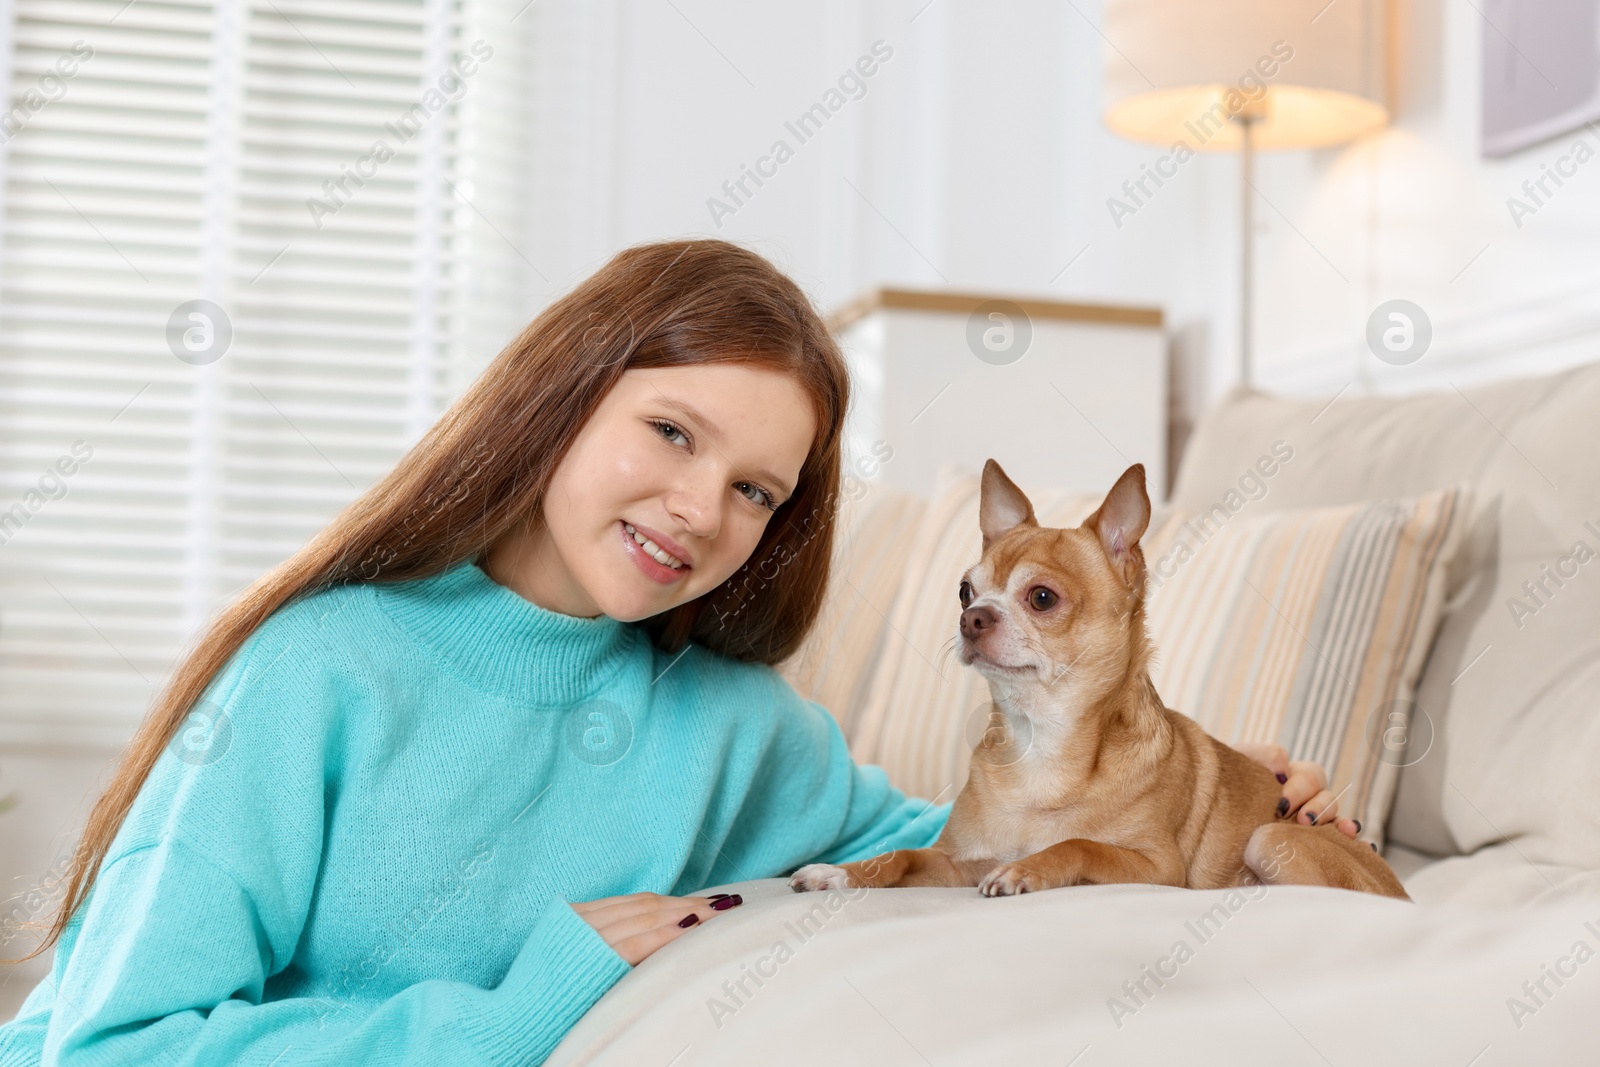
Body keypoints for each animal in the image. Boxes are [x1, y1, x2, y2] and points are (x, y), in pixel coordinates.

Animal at [793, 460, 1408, 902]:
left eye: (1042, 598)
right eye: (965, 592)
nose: (973, 619)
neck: (1039, 741)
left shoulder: (1158, 867)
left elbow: (1079, 844)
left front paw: (1028, 869)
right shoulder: (957, 863)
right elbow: (901, 856)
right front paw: (838, 872)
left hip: (1272, 836)